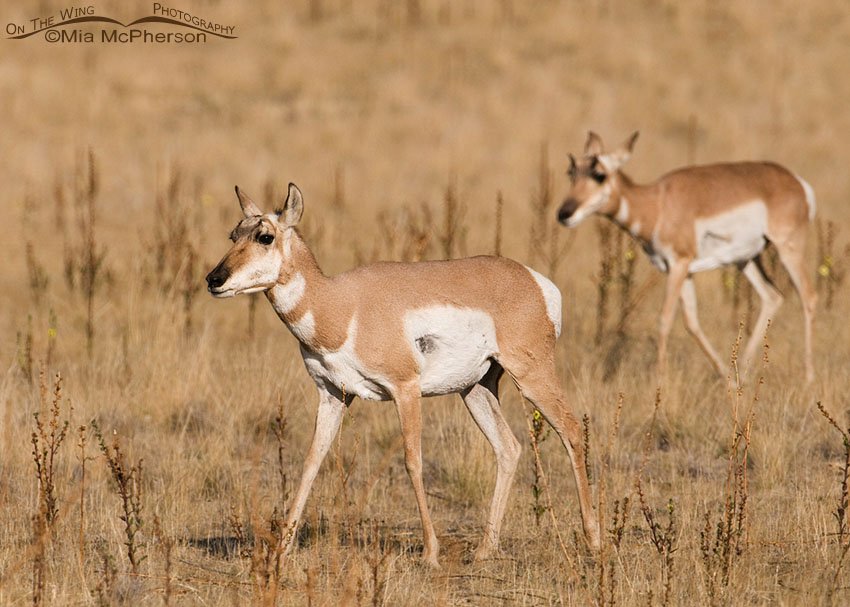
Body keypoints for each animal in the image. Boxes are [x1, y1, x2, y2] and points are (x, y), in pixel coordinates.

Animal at [205, 183, 601, 566]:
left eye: (265, 236)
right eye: (233, 234)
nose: (214, 279)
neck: (341, 305)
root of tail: (534, 280)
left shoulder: (405, 388)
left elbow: (413, 461)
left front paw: (430, 553)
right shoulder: (333, 394)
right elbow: (311, 461)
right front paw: (282, 549)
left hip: (532, 375)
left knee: (571, 430)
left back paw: (593, 542)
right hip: (476, 388)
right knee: (509, 447)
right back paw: (485, 549)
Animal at [557, 131, 817, 382]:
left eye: (599, 174)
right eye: (571, 172)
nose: (564, 213)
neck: (657, 204)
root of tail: (796, 181)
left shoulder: (678, 264)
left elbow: (664, 320)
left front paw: (659, 382)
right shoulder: (683, 270)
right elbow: (691, 322)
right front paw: (726, 378)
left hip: (788, 248)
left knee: (808, 296)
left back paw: (808, 378)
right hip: (746, 260)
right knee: (773, 296)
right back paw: (741, 372)